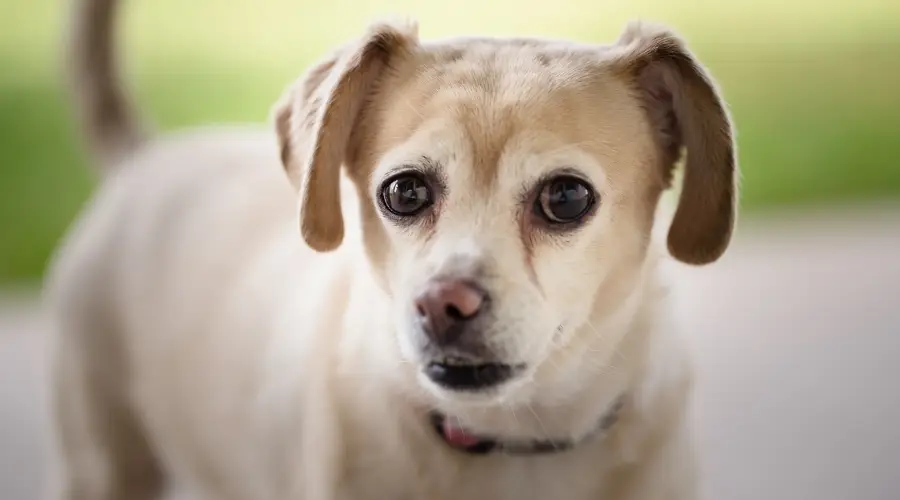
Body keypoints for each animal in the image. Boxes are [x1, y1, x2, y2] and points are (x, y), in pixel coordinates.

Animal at [44, 0, 740, 500]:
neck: (515, 440)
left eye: (566, 197)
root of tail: (144, 157)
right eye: (404, 191)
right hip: (105, 465)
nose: (443, 304)